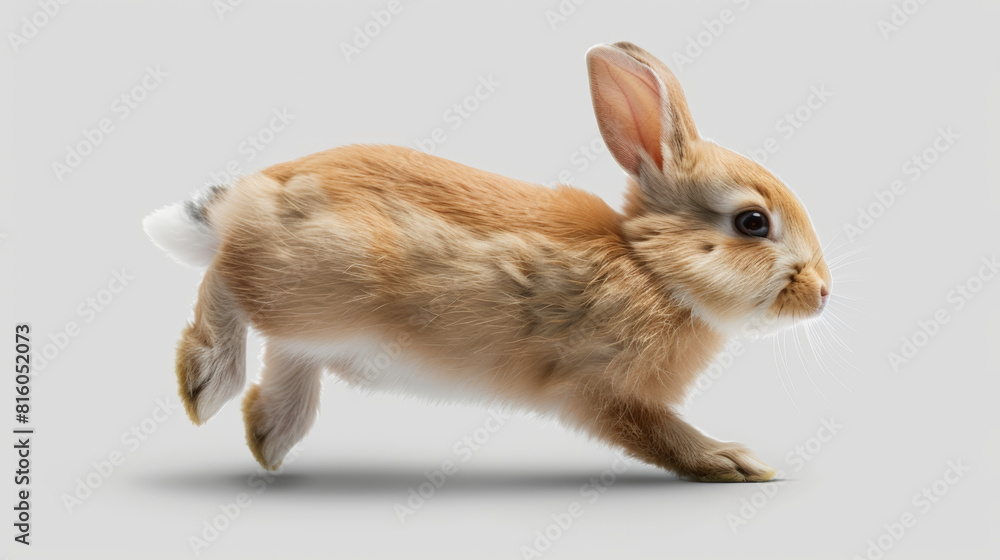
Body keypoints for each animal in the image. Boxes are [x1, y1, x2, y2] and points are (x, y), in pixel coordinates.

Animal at [143, 41, 831, 482]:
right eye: (752, 222)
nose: (823, 293)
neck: (652, 270)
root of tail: (255, 193)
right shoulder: (602, 389)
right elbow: (660, 434)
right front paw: (733, 462)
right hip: (323, 282)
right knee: (224, 279)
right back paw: (205, 383)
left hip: (321, 320)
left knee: (285, 353)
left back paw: (270, 437)